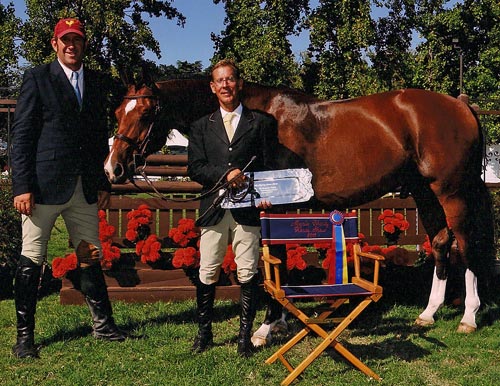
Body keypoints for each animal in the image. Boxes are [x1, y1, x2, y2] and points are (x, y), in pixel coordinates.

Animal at [103, 79, 494, 340]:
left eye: (145, 112)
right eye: (119, 111)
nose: (113, 168)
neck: (261, 116)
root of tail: (461, 105)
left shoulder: (277, 204)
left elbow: (274, 259)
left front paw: (266, 327)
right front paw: (279, 320)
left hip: (452, 191)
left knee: (465, 244)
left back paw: (469, 317)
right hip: (424, 191)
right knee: (441, 241)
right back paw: (429, 313)